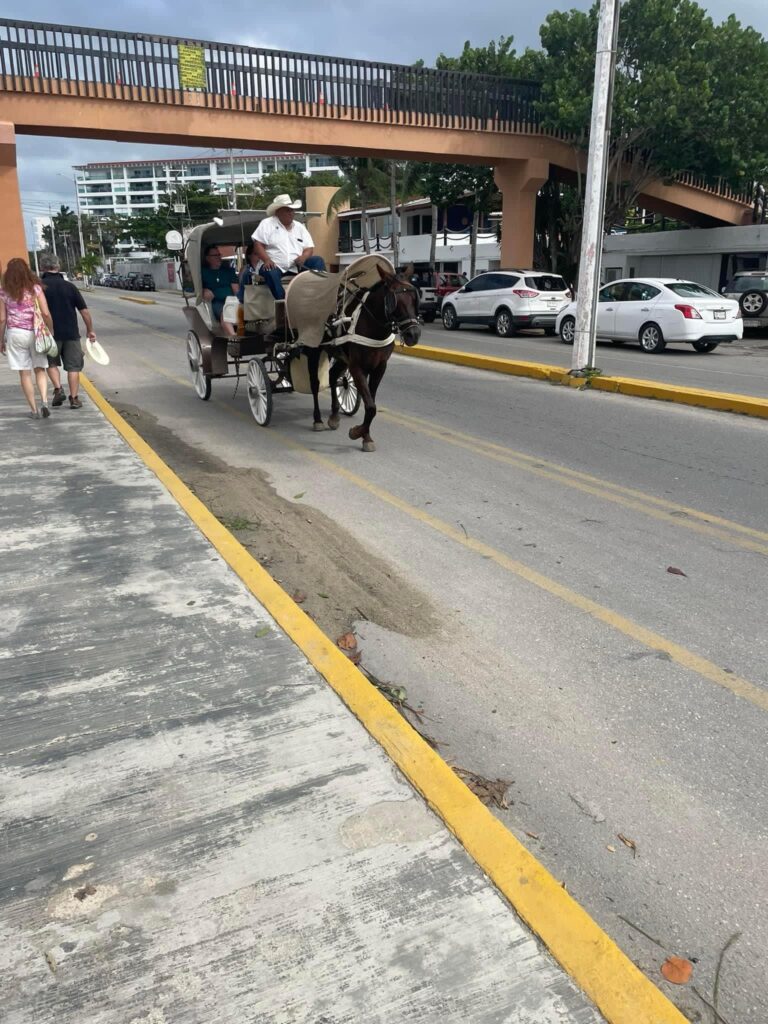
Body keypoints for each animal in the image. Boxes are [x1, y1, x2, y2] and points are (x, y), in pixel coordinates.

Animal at [309, 266, 423, 450]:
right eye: (394, 300)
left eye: (414, 298)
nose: (413, 334)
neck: (372, 324)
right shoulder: (357, 367)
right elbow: (370, 406)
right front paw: (357, 432)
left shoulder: (379, 367)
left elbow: (372, 403)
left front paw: (366, 436)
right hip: (313, 350)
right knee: (314, 384)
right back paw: (318, 419)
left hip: (342, 356)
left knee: (333, 375)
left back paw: (334, 416)